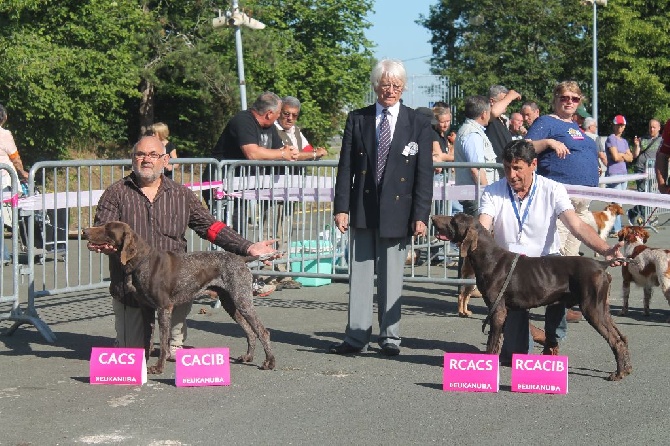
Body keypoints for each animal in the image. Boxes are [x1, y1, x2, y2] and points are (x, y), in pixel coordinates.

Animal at [82, 221, 276, 374]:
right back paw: (248, 356)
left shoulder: (163, 308)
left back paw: (269, 362)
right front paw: (143, 362)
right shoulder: (147, 309)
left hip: (242, 300)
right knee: (250, 331)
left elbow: (163, 342)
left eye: (108, 229)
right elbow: (147, 339)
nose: (84, 230)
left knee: (262, 331)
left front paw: (158, 367)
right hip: (231, 303)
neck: (141, 262)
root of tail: (240, 259)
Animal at [434, 214, 632, 382]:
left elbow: (491, 343)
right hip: (602, 309)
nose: (433, 218)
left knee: (615, 340)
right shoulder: (501, 312)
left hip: (592, 309)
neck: (489, 258)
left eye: (453, 220)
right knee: (622, 337)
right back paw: (627, 369)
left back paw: (618, 374)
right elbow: (497, 342)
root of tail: (601, 264)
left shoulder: (497, 310)